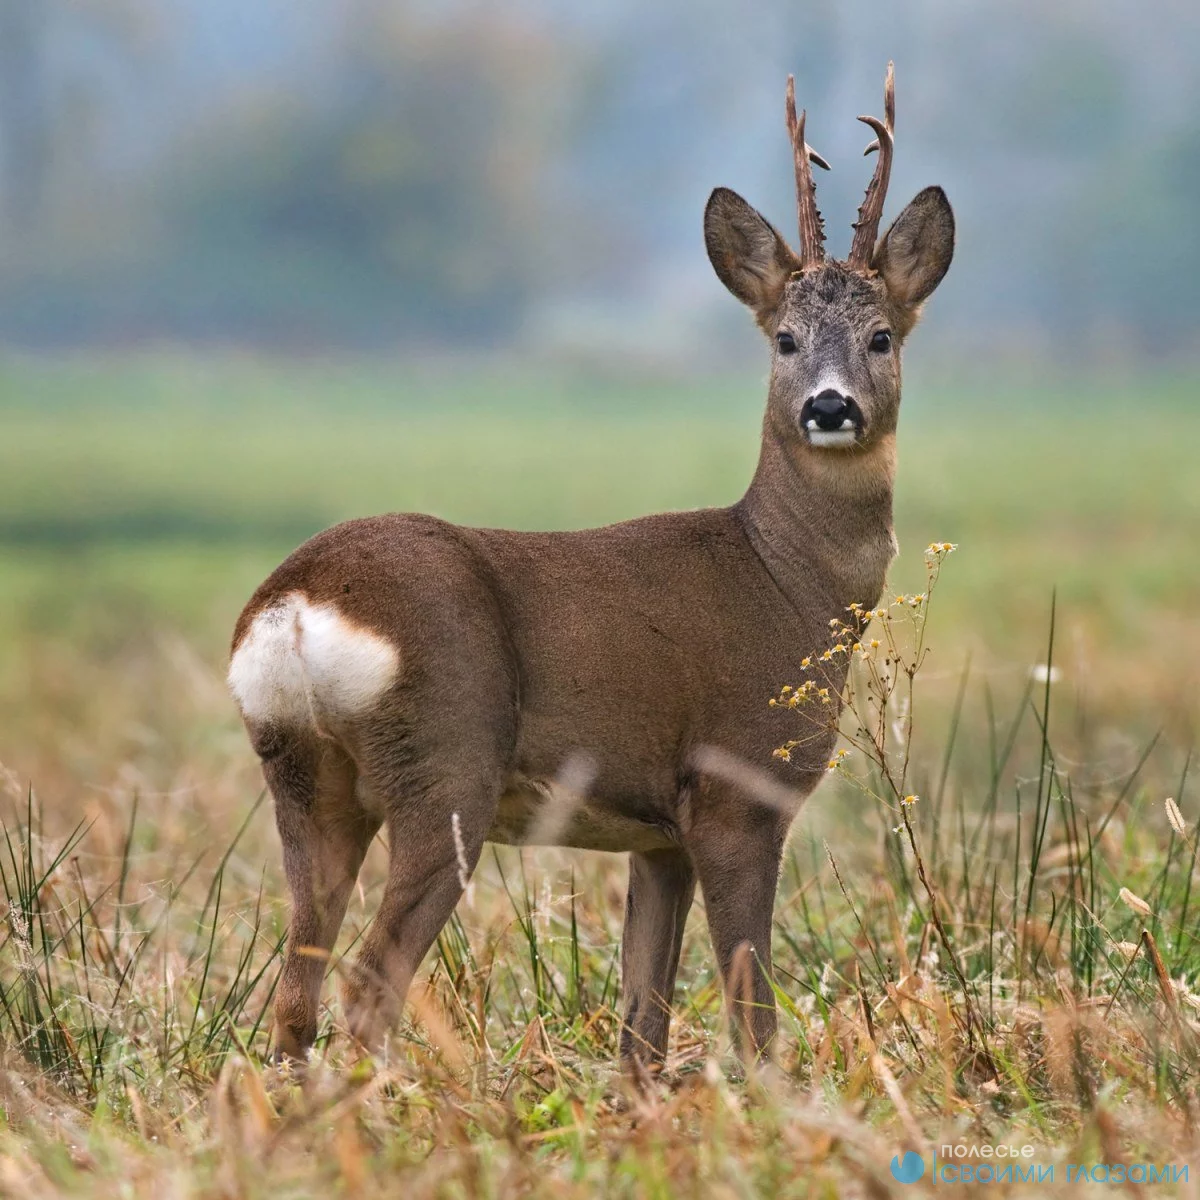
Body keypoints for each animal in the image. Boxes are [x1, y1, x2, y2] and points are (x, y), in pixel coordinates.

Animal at [226, 65, 955, 1070]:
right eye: (784, 339)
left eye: (882, 336)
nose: (831, 407)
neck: (785, 582)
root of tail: (295, 605)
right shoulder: (734, 789)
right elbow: (752, 1010)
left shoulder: (659, 839)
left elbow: (641, 1029)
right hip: (446, 765)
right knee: (368, 983)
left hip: (305, 778)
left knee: (294, 994)